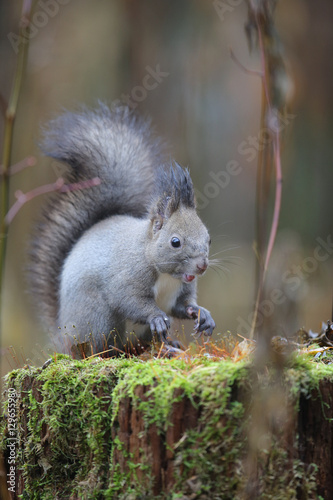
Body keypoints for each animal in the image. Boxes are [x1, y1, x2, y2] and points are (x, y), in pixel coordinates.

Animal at [29, 101, 215, 354]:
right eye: (175, 242)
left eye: (208, 238)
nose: (202, 265)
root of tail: (63, 334)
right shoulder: (126, 277)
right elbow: (128, 300)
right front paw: (156, 316)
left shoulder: (179, 292)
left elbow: (181, 306)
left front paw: (202, 313)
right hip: (100, 319)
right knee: (105, 348)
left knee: (144, 343)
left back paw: (168, 346)